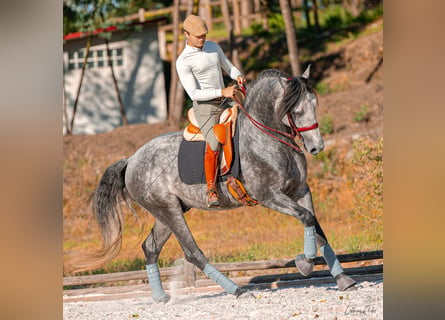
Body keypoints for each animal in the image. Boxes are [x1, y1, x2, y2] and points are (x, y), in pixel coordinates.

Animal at [71, 67, 356, 302]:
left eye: (315, 104)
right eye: (295, 111)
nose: (316, 147)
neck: (267, 136)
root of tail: (131, 160)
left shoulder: (300, 191)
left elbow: (316, 227)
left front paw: (343, 279)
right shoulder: (270, 196)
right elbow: (307, 218)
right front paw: (304, 264)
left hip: (168, 211)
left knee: (150, 247)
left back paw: (161, 298)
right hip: (168, 211)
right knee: (193, 253)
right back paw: (237, 290)